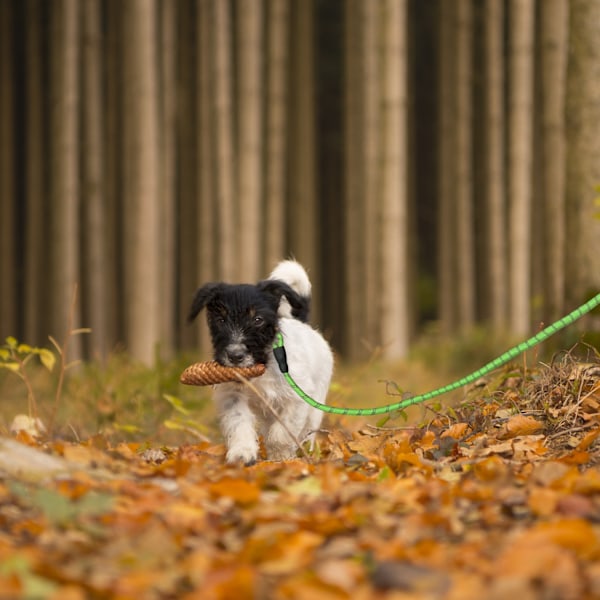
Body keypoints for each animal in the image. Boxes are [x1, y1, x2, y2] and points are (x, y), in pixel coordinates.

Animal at [188, 258, 332, 464]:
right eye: (220, 320)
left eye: (258, 319)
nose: (235, 356)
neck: (264, 366)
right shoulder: (232, 395)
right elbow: (239, 422)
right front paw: (242, 452)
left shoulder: (297, 398)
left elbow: (282, 432)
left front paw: (280, 456)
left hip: (315, 405)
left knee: (307, 430)